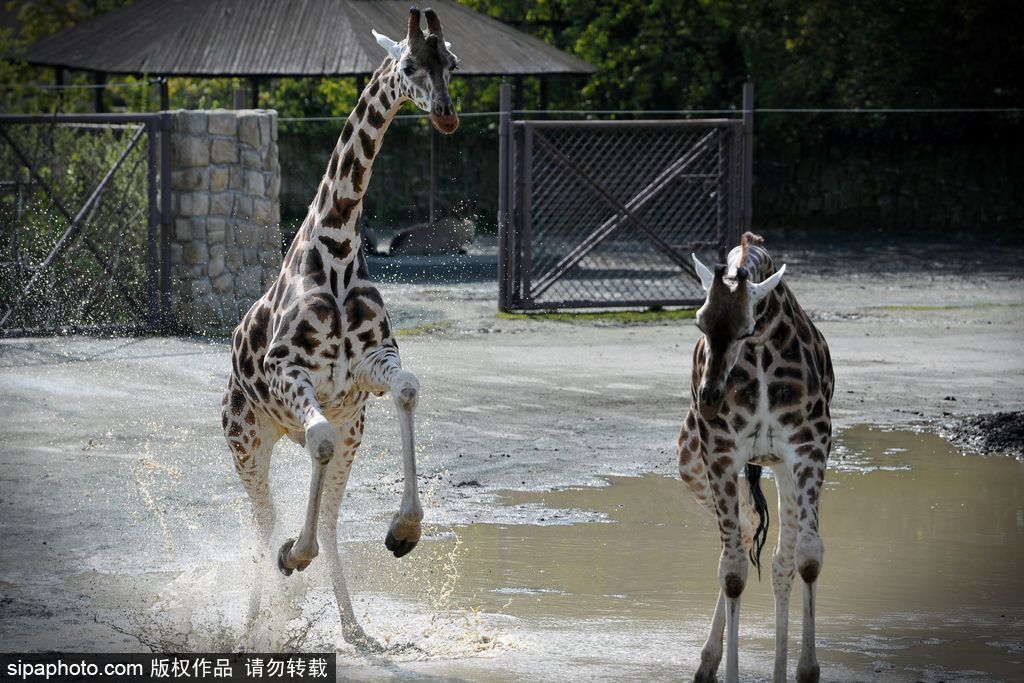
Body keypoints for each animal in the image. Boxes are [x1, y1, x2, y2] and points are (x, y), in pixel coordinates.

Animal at [223, 7, 460, 651]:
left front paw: (405, 530)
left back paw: (353, 630)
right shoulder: (288, 370)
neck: (336, 245)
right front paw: (292, 557)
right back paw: (252, 623)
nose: (446, 113)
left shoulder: (371, 367)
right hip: (245, 439)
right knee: (264, 523)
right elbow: (318, 445)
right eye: (410, 66)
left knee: (327, 516)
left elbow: (408, 390)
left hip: (348, 430)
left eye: (451, 63)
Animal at [675, 232, 835, 679]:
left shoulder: (810, 447)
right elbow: (732, 572)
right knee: (745, 534)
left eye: (748, 328)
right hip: (693, 464)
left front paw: (807, 671)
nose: (709, 399)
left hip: (782, 468)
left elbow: (807, 559)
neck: (764, 352)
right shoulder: (720, 452)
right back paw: (707, 662)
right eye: (700, 322)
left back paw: (778, 671)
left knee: (780, 560)